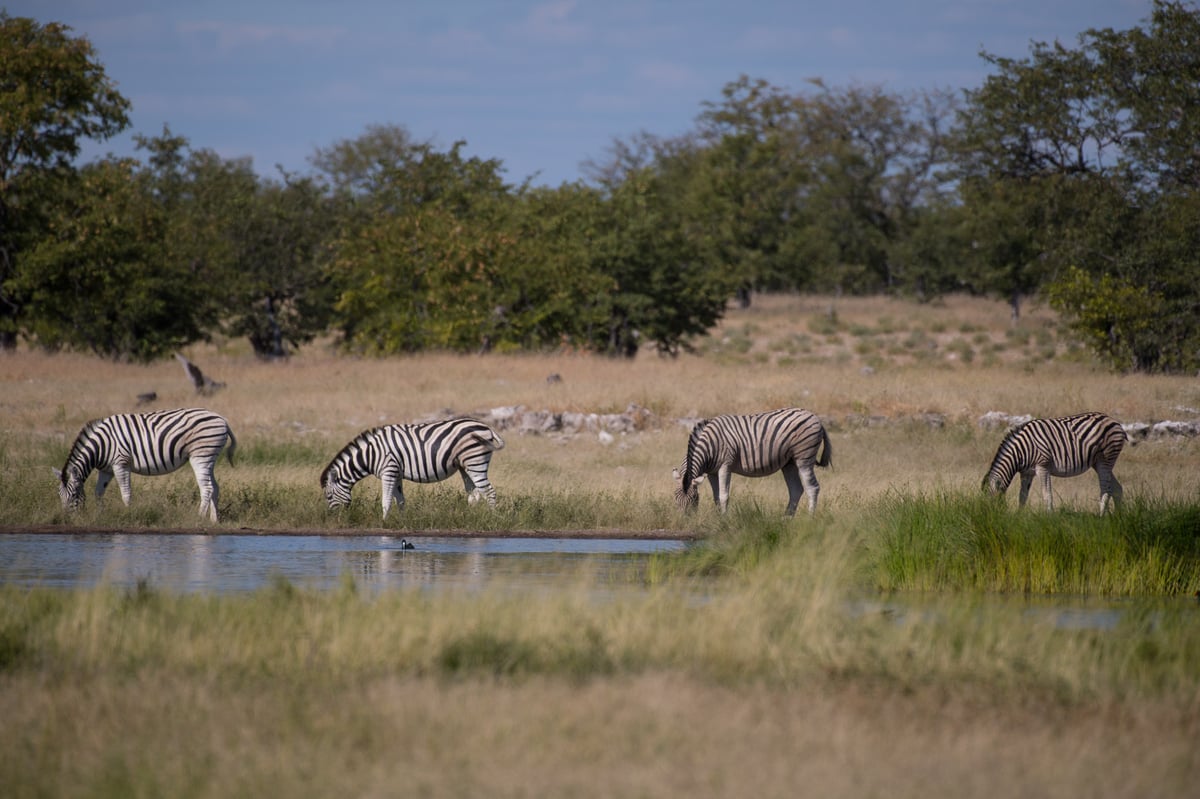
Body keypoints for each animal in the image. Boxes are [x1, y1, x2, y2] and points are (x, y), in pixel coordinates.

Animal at [54, 405, 236, 523]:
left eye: (74, 495)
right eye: (59, 495)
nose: (66, 519)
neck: (101, 446)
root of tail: (223, 420)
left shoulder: (120, 463)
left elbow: (126, 493)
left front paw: (128, 514)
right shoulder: (106, 470)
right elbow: (98, 492)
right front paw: (100, 515)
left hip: (200, 455)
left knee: (207, 488)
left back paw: (199, 517)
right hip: (209, 457)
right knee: (215, 487)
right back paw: (214, 520)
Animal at [321, 417, 504, 515]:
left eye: (328, 496)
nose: (333, 518)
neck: (370, 454)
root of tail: (487, 427)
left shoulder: (388, 470)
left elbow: (386, 500)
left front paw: (383, 522)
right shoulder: (396, 473)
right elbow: (400, 500)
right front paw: (401, 521)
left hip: (475, 461)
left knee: (489, 492)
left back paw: (490, 518)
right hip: (465, 466)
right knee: (474, 494)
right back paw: (469, 517)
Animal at [672, 407, 830, 513]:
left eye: (694, 498)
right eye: (675, 497)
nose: (683, 521)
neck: (709, 445)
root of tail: (815, 417)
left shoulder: (725, 465)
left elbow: (723, 496)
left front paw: (724, 520)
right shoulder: (712, 472)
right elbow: (716, 496)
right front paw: (717, 518)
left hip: (804, 458)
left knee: (812, 488)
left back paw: (809, 518)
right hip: (789, 463)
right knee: (796, 490)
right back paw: (786, 519)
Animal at [984, 410, 1123, 511]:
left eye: (991, 504)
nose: (989, 519)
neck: (1020, 451)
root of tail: (1115, 422)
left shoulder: (1042, 467)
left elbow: (1047, 496)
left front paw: (1048, 518)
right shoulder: (1026, 473)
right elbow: (1022, 497)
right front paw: (1020, 517)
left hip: (1106, 458)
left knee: (1106, 490)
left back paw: (1102, 517)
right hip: (1098, 462)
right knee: (1117, 489)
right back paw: (1117, 519)